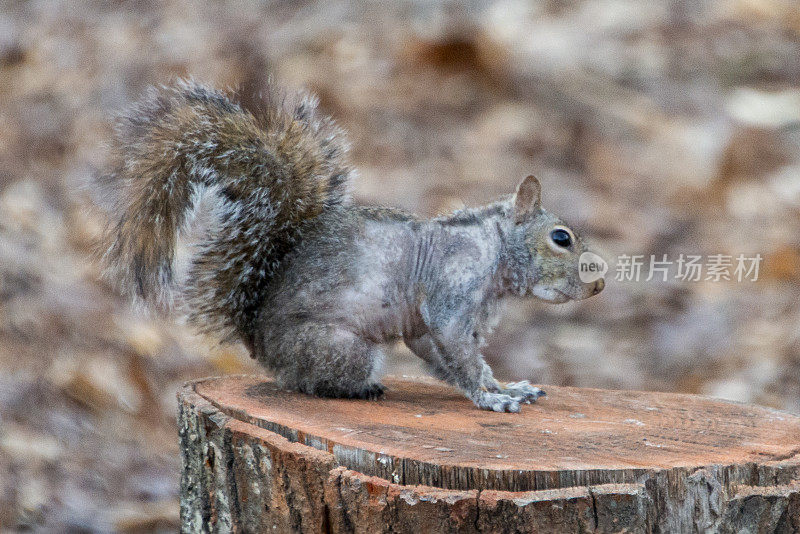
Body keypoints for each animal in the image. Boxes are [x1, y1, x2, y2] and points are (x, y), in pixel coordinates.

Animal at [97, 78, 604, 414]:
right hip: (341, 348)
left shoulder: (432, 325)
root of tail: (259, 342)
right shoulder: (451, 293)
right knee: (307, 382)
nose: (597, 287)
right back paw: (359, 388)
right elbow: (460, 355)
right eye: (561, 238)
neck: (491, 247)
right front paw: (490, 396)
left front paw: (509, 387)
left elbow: (438, 352)